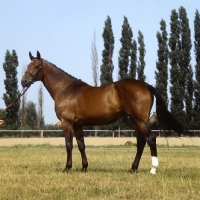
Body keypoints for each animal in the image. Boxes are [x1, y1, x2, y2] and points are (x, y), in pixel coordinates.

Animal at [21, 50, 185, 174]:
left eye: (37, 66)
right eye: (28, 65)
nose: (23, 82)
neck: (66, 89)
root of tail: (145, 85)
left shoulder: (67, 123)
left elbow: (69, 145)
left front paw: (67, 168)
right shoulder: (78, 125)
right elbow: (81, 145)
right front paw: (84, 168)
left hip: (140, 120)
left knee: (151, 139)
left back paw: (153, 169)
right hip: (136, 120)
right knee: (141, 142)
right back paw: (133, 169)